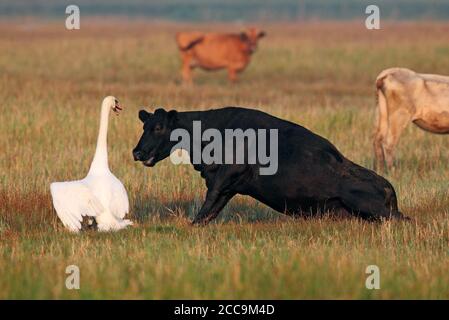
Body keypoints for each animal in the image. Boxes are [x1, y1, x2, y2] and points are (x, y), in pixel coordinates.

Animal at [132, 106, 406, 224]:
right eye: (144, 126)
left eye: (159, 127)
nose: (137, 151)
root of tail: (389, 188)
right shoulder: (227, 186)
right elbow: (211, 211)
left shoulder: (223, 178)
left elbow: (206, 207)